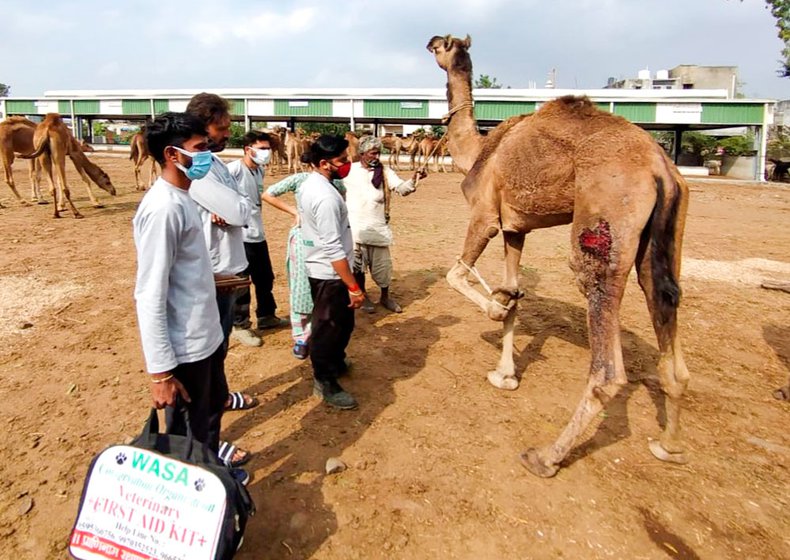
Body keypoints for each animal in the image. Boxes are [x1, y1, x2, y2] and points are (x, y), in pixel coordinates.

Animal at [426, 34, 692, 476]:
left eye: (443, 46)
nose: (429, 43)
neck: (478, 151)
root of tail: (660, 168)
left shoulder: (485, 214)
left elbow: (458, 275)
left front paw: (493, 310)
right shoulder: (516, 227)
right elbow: (515, 292)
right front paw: (505, 375)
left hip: (606, 218)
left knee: (606, 364)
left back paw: (546, 455)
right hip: (665, 231)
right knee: (665, 295)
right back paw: (669, 444)